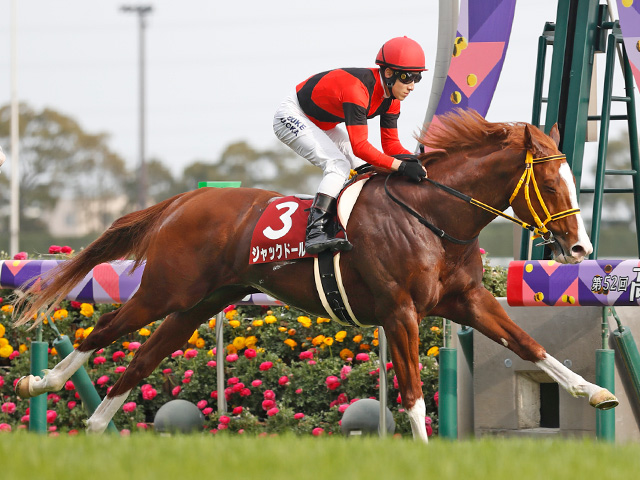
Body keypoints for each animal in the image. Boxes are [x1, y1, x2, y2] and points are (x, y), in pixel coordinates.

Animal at [15, 110, 616, 440]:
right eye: (552, 183)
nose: (581, 248)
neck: (435, 220)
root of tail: (186, 200)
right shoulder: (400, 312)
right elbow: (414, 394)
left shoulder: (466, 300)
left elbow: (531, 345)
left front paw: (595, 393)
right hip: (168, 289)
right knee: (104, 331)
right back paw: (40, 383)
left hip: (199, 304)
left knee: (142, 358)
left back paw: (96, 426)